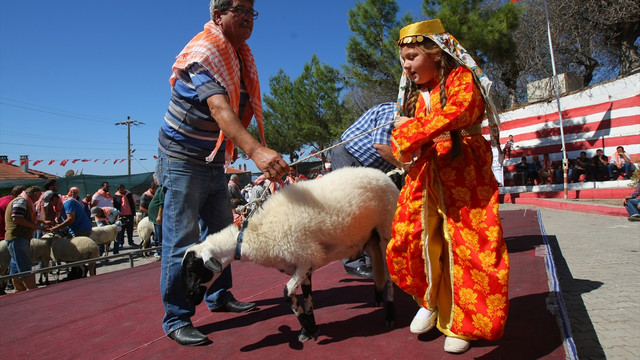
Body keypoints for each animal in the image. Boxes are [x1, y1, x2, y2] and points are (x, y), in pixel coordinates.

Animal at [181, 167, 400, 342]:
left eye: (192, 268)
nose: (189, 299)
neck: (252, 237)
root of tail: (384, 175)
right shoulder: (303, 264)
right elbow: (307, 297)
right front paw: (309, 330)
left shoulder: (305, 258)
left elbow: (287, 293)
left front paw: (307, 327)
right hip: (370, 238)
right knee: (378, 269)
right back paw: (378, 298)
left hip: (385, 231)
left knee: (389, 276)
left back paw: (390, 316)